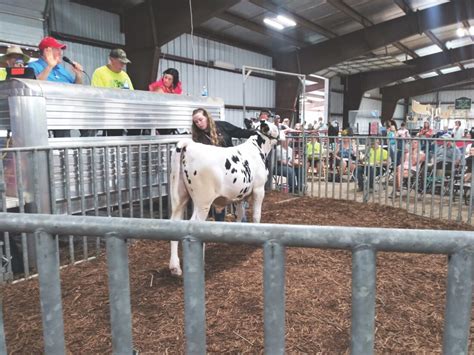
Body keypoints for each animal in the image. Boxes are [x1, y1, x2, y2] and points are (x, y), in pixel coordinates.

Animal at [169, 121, 282, 276]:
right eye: (275, 126)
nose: (282, 135)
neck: (256, 149)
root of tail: (189, 145)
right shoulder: (259, 189)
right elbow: (256, 215)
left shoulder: (241, 195)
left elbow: (239, 215)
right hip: (203, 201)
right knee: (194, 225)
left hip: (180, 197)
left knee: (174, 224)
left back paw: (175, 267)